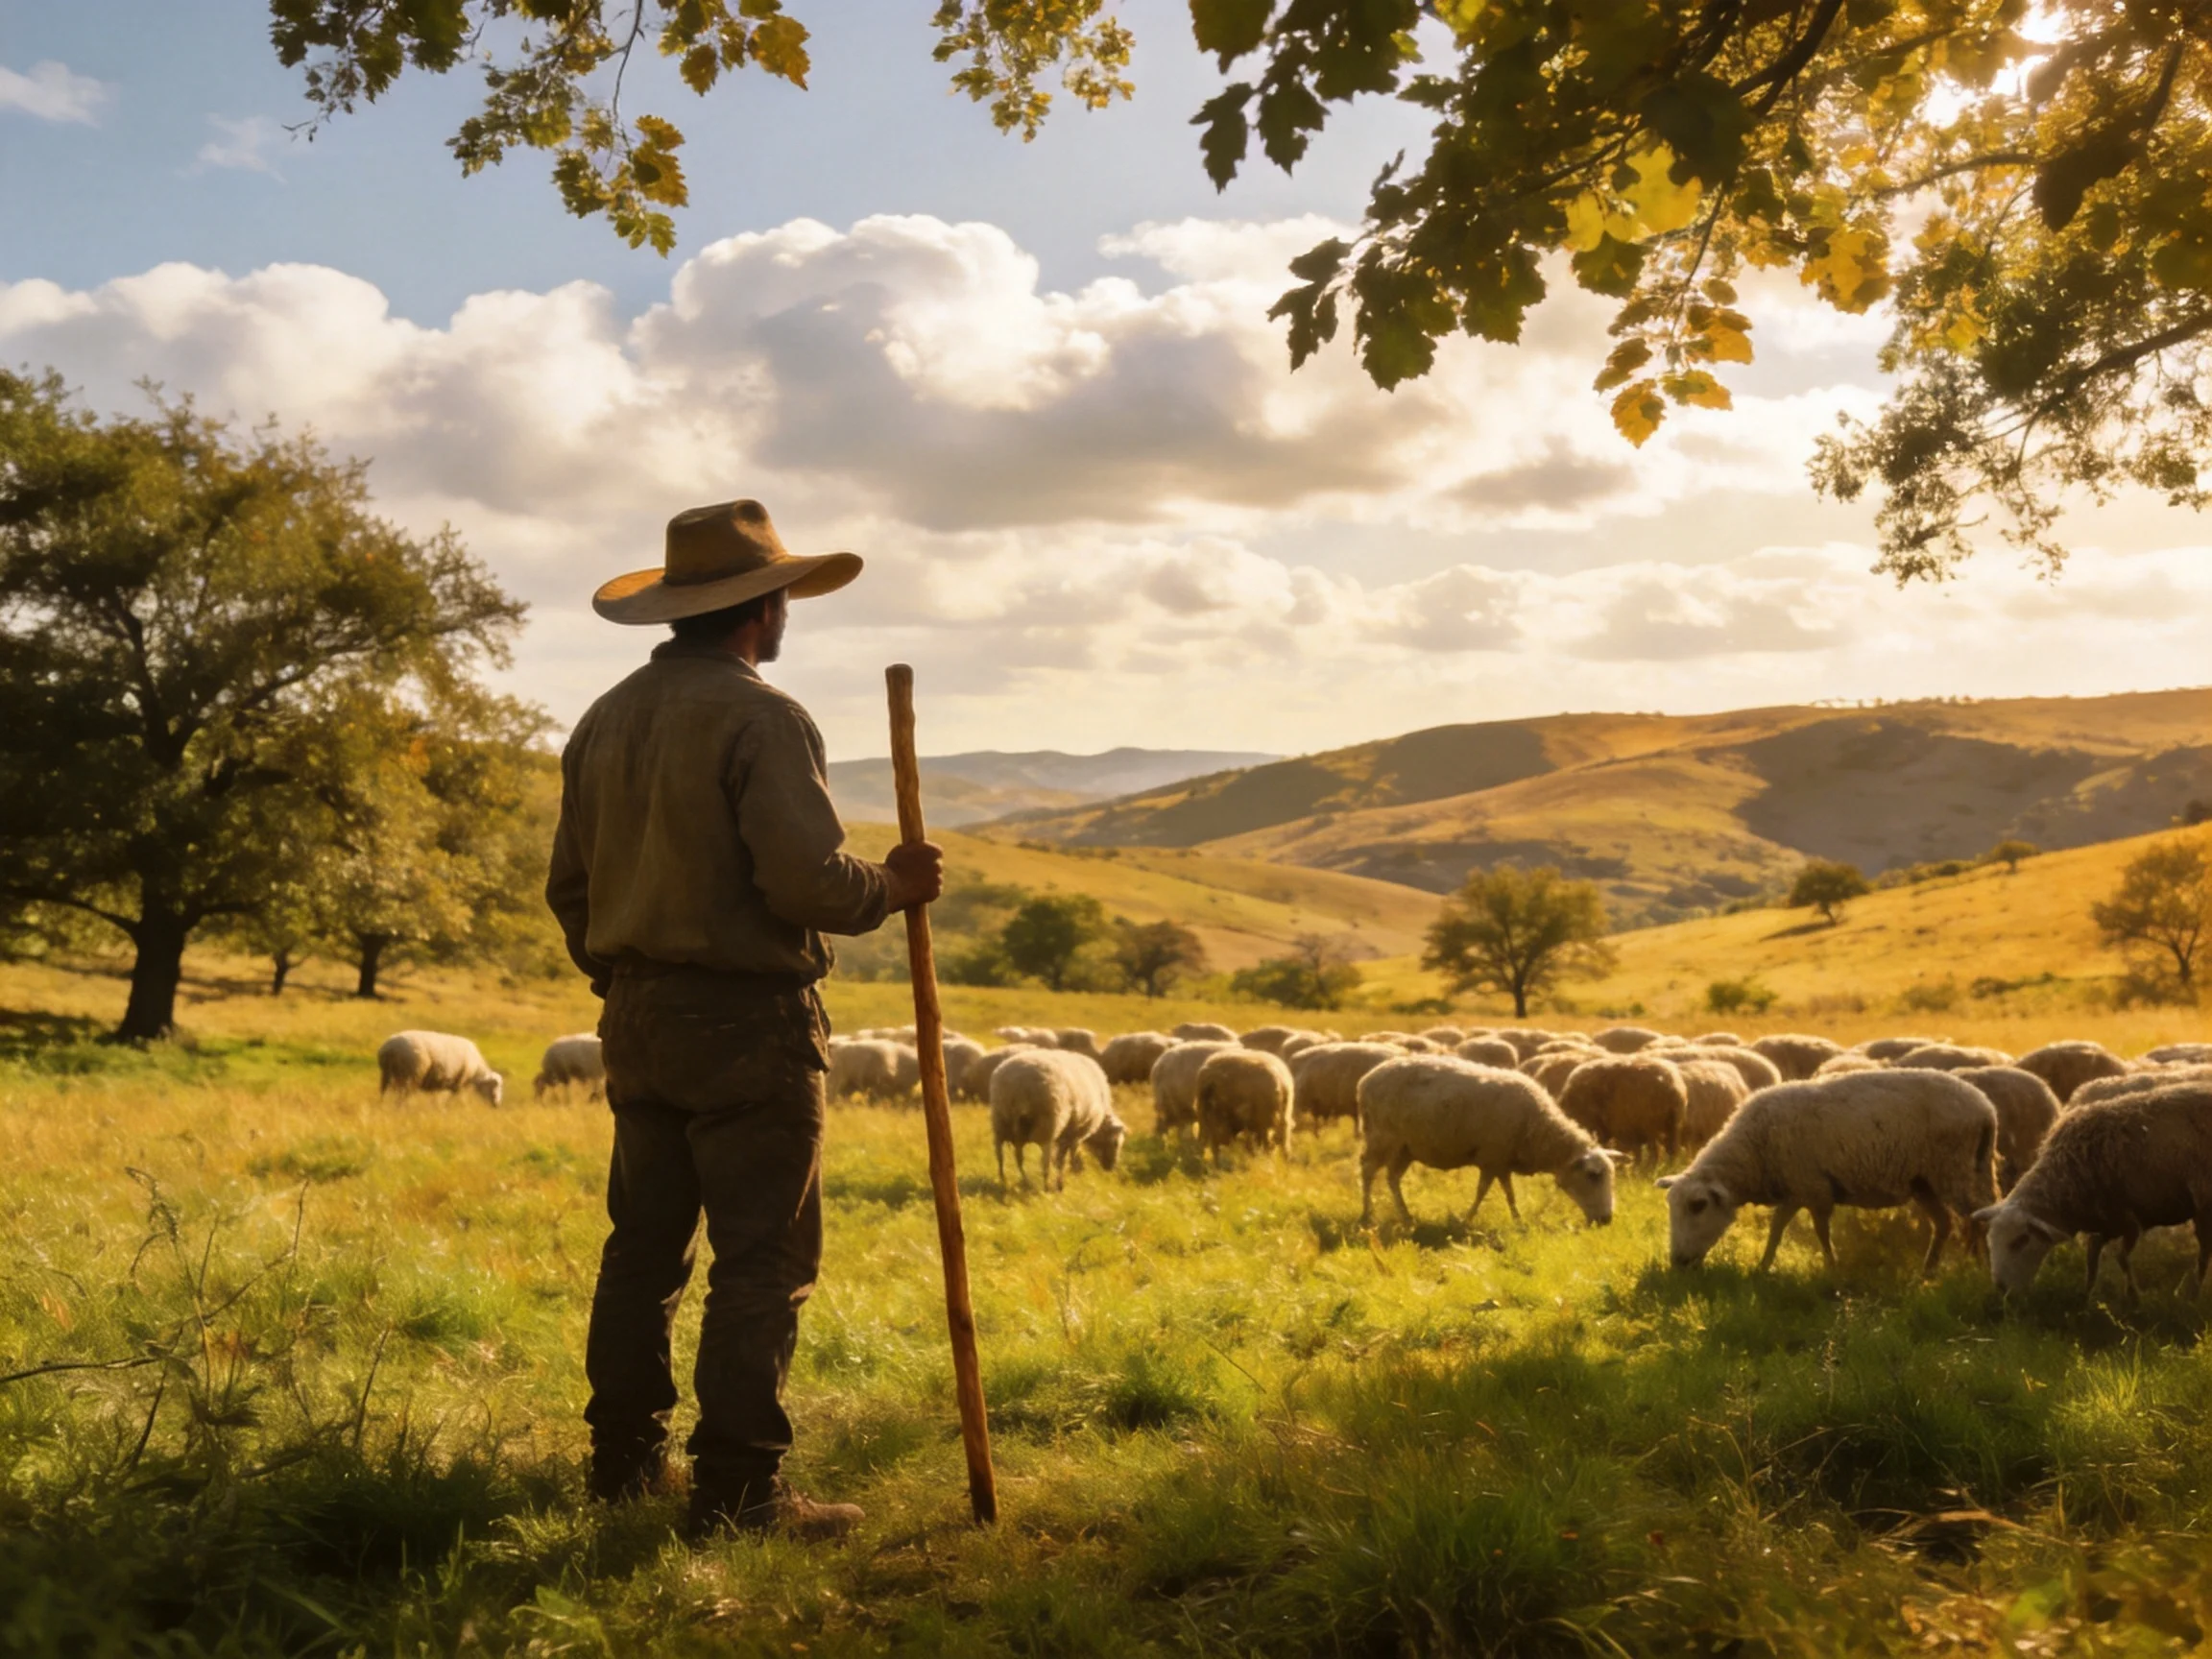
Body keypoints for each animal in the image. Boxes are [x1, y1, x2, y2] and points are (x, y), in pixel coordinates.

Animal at [379, 1031, 504, 1108]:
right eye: (494, 1086)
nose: (497, 1105)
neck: (477, 1070)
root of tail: (390, 1048)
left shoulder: (445, 1082)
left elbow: (438, 1099)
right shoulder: (460, 1082)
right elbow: (456, 1099)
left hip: (387, 1074)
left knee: (383, 1092)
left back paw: (382, 1105)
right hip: (412, 1074)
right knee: (402, 1096)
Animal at [989, 1050, 1126, 1190]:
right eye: (1115, 1143)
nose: (1111, 1167)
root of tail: (1017, 1086)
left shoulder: (1067, 1134)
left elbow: (1061, 1159)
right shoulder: (1075, 1134)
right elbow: (1066, 1157)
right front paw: (1068, 1177)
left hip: (1001, 1122)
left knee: (1003, 1156)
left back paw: (1008, 1180)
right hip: (1048, 1125)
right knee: (1044, 1161)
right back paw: (1045, 1186)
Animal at [1356, 1056, 1621, 1228]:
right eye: (1593, 1175)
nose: (1607, 1220)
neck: (1538, 1128)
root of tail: (1366, 1080)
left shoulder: (1502, 1162)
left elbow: (1509, 1193)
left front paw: (1518, 1222)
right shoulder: (1492, 1157)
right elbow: (1482, 1191)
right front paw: (1466, 1221)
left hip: (1406, 1148)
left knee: (1392, 1178)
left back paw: (1406, 1217)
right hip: (1382, 1137)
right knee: (1368, 1170)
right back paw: (1367, 1214)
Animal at [1661, 1070, 1998, 1274]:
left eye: (1698, 1206)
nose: (1678, 1262)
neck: (1755, 1147)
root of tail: (1986, 1108)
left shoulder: (1816, 1188)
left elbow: (1821, 1232)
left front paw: (1831, 1269)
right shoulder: (1796, 1189)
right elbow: (1777, 1229)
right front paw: (1763, 1267)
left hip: (1956, 1171)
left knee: (1979, 1217)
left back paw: (1983, 1268)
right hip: (1928, 1180)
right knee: (1945, 1223)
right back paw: (1928, 1272)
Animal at [1976, 1082, 2212, 1297]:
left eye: (2020, 1241)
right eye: (1990, 1241)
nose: (2001, 1288)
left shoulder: (2130, 1220)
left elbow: (2121, 1258)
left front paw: (2133, 1297)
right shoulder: (2107, 1224)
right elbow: (2092, 1258)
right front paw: (2087, 1297)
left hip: (2204, 1201)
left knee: (2204, 1252)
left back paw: (2192, 1293)